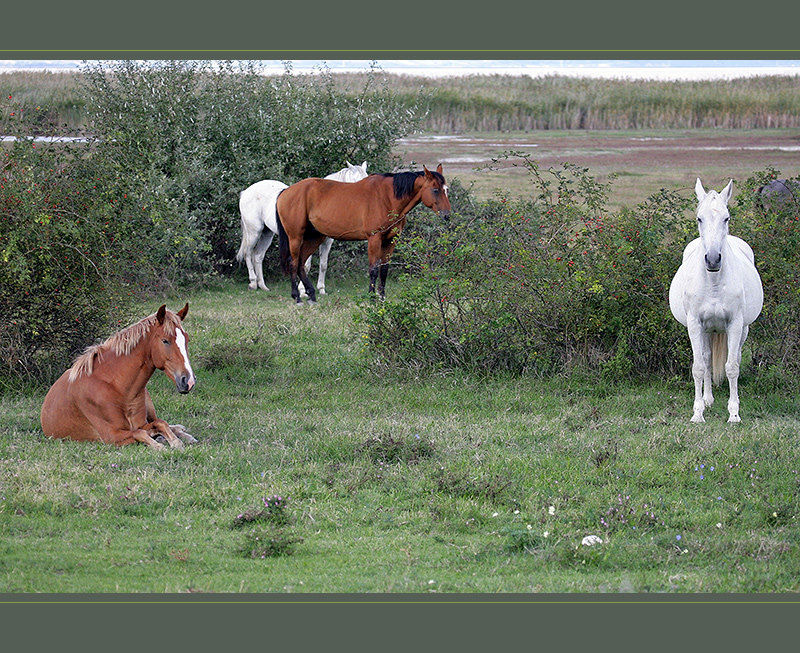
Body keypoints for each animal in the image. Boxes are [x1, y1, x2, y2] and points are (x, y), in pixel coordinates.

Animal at [41, 304, 198, 448]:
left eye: (187, 339)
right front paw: (160, 445)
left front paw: (174, 441)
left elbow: (160, 423)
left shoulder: (142, 423)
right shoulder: (111, 436)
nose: (188, 381)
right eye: (165, 340)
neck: (116, 386)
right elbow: (141, 432)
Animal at [233, 162, 368, 294]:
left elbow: (323, 265)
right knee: (248, 253)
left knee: (258, 256)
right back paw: (253, 283)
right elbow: (306, 265)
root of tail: (246, 192)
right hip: (254, 232)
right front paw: (303, 290)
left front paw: (321, 289)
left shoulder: (327, 242)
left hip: (267, 234)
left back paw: (263, 286)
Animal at [276, 166, 450, 304]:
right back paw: (297, 297)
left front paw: (382, 297)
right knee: (294, 263)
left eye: (446, 190)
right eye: (435, 190)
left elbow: (384, 270)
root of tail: (285, 192)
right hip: (296, 237)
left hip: (315, 238)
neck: (387, 198)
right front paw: (372, 297)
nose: (447, 215)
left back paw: (311, 295)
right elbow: (373, 269)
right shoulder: (374, 239)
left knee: (301, 264)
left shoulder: (390, 241)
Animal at [668, 178, 764, 422]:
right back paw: (708, 400)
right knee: (707, 358)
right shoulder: (694, 325)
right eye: (699, 218)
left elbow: (732, 367)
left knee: (734, 356)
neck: (712, 282)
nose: (713, 259)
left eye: (726, 218)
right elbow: (699, 367)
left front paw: (734, 414)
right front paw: (697, 413)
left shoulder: (735, 324)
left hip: (741, 329)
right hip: (706, 331)